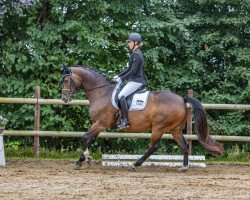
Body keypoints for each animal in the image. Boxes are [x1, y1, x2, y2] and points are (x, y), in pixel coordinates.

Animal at [60, 64, 223, 170]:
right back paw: (184, 166)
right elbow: (89, 139)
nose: (64, 99)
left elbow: (85, 138)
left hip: (158, 127)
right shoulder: (98, 124)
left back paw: (135, 164)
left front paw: (87, 159)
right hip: (175, 129)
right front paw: (81, 161)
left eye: (67, 80)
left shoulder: (101, 123)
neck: (102, 93)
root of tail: (182, 100)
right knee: (183, 145)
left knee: (153, 146)